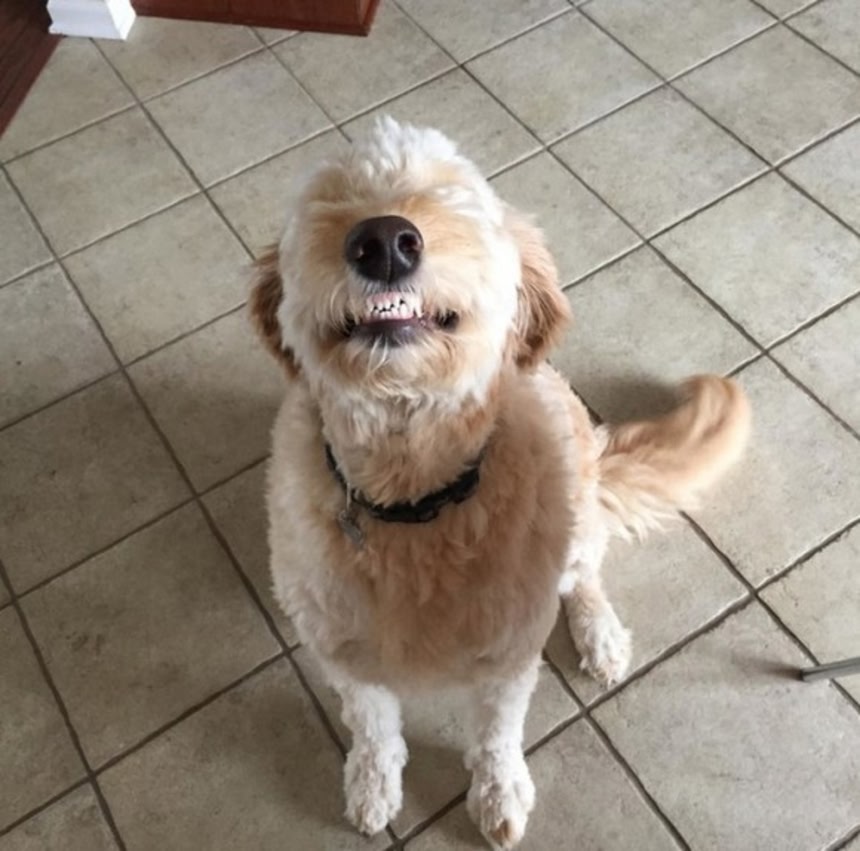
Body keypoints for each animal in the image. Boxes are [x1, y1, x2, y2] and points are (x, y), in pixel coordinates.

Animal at [251, 117, 749, 849]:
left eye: (452, 193)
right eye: (331, 194)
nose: (384, 240)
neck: (414, 495)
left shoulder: (509, 653)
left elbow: (496, 735)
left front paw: (498, 792)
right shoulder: (342, 649)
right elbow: (372, 726)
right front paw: (372, 786)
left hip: (576, 513)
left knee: (587, 573)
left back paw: (600, 634)